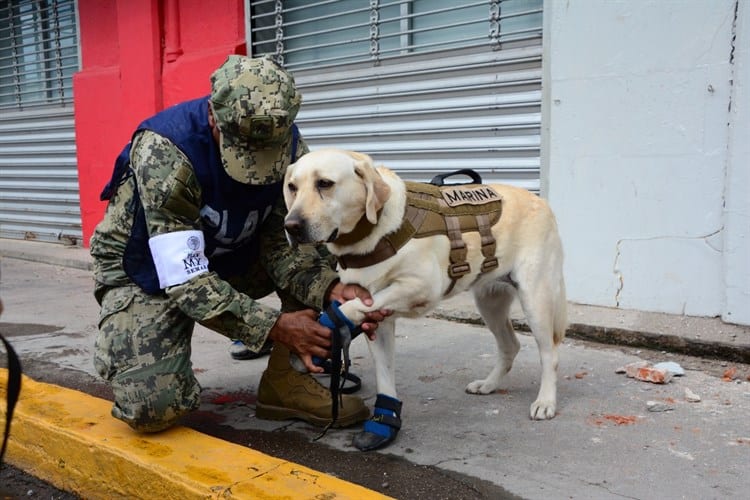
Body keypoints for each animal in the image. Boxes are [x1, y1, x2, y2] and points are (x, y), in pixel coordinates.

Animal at [284, 147, 568, 450]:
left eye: (324, 183)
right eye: (292, 187)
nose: (291, 226)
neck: (371, 232)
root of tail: (540, 200)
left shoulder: (422, 286)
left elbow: (351, 307)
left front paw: (327, 325)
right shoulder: (380, 320)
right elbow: (384, 374)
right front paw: (384, 423)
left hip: (535, 298)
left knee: (550, 353)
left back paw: (545, 401)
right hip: (490, 302)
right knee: (510, 345)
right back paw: (488, 384)